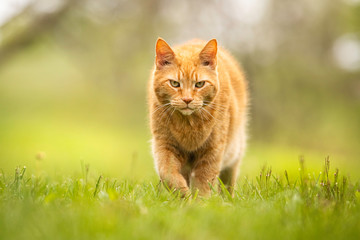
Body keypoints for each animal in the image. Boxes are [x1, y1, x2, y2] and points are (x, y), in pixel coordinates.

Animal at [148, 37, 248, 195]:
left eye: (200, 84)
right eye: (174, 83)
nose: (187, 99)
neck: (188, 124)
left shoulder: (212, 151)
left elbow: (204, 182)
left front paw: (199, 201)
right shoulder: (163, 145)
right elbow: (168, 174)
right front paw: (183, 195)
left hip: (234, 152)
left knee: (227, 183)